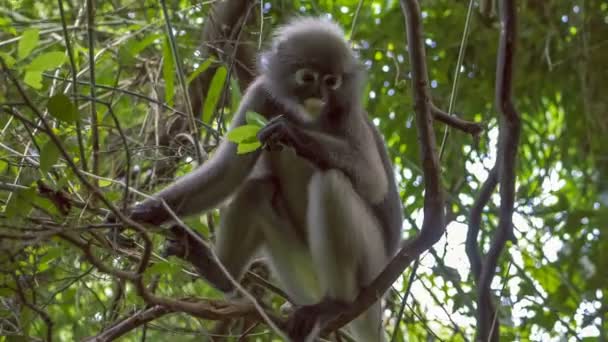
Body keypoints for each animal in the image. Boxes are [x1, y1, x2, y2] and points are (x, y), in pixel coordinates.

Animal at [121, 16, 402, 342]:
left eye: (332, 82)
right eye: (308, 77)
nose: (320, 96)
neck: (304, 114)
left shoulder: (349, 112)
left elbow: (374, 182)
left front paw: (295, 136)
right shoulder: (260, 93)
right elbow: (228, 172)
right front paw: (147, 211)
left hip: (370, 265)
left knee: (331, 182)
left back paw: (334, 305)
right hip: (302, 273)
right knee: (256, 189)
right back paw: (218, 272)